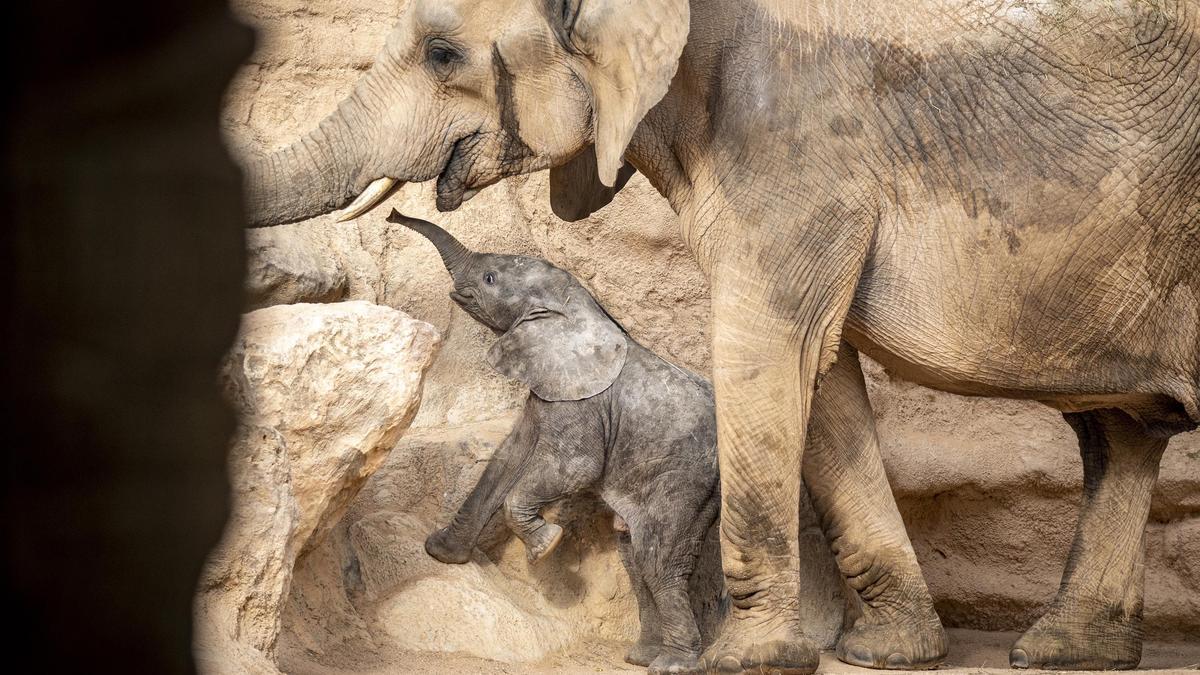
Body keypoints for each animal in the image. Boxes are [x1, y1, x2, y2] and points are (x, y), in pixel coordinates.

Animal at [388, 207, 715, 667]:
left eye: (490, 279)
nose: (393, 213)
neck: (576, 306)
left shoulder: (585, 403)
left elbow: (576, 469)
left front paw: (545, 546)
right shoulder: (546, 388)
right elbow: (507, 459)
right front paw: (440, 552)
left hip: (686, 479)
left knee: (658, 561)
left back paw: (672, 664)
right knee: (633, 554)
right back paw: (642, 657)